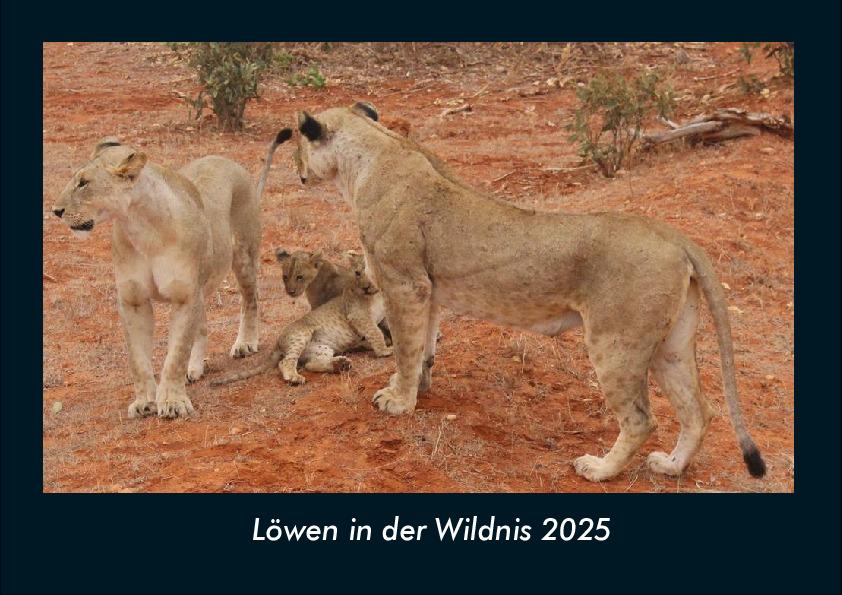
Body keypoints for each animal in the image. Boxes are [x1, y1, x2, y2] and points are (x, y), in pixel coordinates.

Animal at [51, 129, 291, 418]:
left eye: (84, 183)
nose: (55, 211)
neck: (142, 228)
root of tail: (228, 161)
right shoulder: (133, 300)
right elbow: (138, 359)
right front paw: (145, 401)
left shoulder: (185, 296)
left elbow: (176, 354)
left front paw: (173, 402)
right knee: (202, 326)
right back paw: (195, 369)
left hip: (242, 256)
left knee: (250, 299)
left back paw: (245, 343)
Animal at [211, 252, 392, 386]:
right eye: (358, 273)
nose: (366, 287)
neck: (376, 295)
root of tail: (278, 342)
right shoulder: (358, 316)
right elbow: (376, 332)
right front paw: (385, 351)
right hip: (300, 336)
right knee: (286, 362)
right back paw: (295, 378)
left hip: (321, 348)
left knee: (311, 364)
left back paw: (340, 364)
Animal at [271, 102, 767, 482]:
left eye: (296, 144)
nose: (296, 170)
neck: (371, 155)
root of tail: (674, 236)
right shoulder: (428, 289)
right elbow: (424, 348)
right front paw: (416, 389)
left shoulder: (403, 282)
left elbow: (405, 349)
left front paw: (398, 402)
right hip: (670, 344)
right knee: (699, 410)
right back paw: (671, 466)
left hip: (616, 342)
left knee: (642, 419)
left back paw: (598, 469)